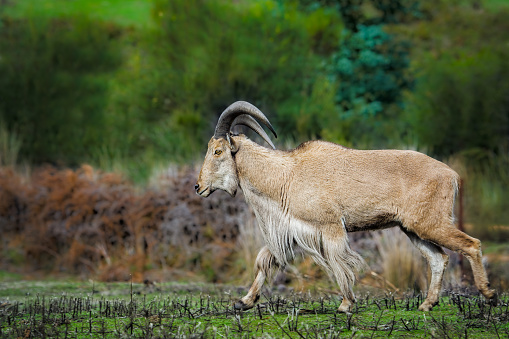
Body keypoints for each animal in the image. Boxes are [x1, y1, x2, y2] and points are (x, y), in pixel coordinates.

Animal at [194, 101, 496, 314]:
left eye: (218, 151)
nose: (198, 187)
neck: (286, 176)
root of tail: (452, 175)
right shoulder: (291, 231)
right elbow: (265, 260)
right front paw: (244, 301)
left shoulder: (329, 227)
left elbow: (340, 263)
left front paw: (346, 304)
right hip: (413, 229)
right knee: (438, 259)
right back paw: (427, 304)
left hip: (431, 223)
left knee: (471, 245)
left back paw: (489, 294)